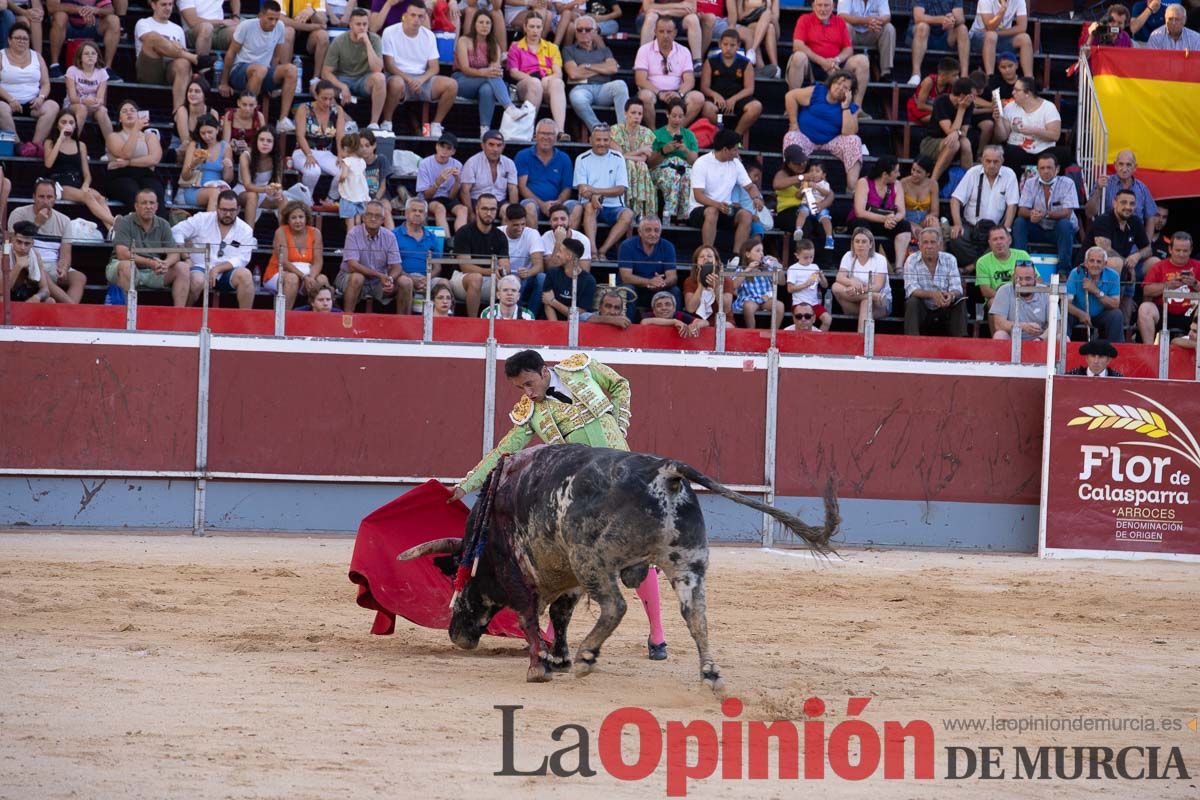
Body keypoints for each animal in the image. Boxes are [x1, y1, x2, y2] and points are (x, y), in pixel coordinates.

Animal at [398, 443, 840, 695]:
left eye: (456, 578)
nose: (457, 635)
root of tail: (665, 470)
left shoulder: (523, 570)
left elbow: (529, 615)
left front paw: (541, 667)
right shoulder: (566, 576)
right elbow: (560, 614)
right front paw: (558, 658)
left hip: (593, 559)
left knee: (616, 606)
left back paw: (588, 657)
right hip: (687, 564)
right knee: (696, 617)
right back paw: (710, 675)